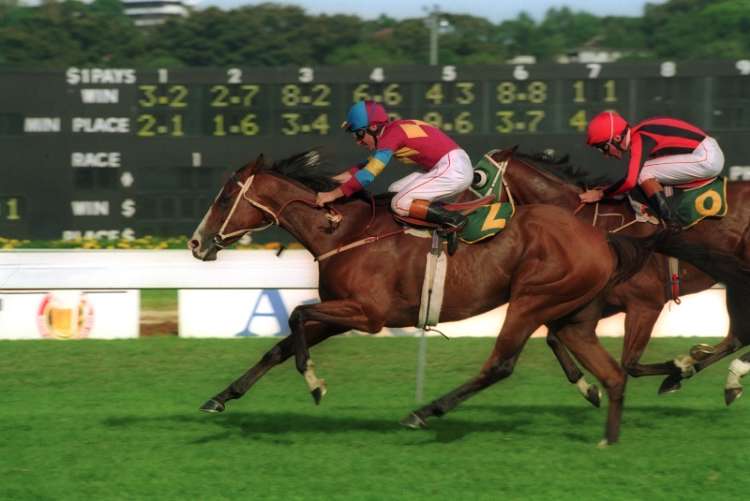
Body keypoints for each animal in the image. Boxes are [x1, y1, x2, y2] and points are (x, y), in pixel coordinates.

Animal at [188, 150, 659, 445]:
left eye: (226, 197)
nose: (196, 243)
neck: (343, 231)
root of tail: (600, 237)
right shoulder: (339, 311)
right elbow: (280, 345)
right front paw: (220, 398)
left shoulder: (368, 314)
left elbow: (297, 317)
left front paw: (315, 383)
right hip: (572, 313)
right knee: (611, 373)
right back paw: (607, 436)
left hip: (532, 300)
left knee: (500, 365)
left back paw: (423, 412)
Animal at [490, 147, 750, 403]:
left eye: (481, 180)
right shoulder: (600, 301)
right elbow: (554, 338)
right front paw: (589, 389)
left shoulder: (645, 303)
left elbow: (630, 364)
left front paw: (680, 368)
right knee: (737, 336)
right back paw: (720, 378)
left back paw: (727, 371)